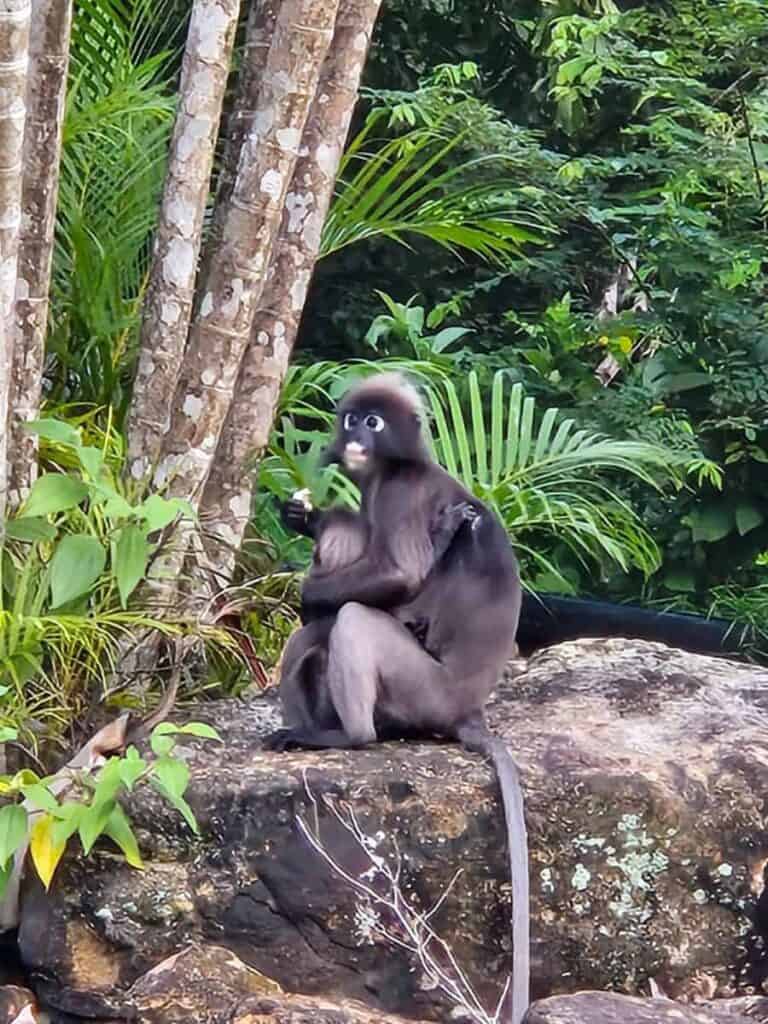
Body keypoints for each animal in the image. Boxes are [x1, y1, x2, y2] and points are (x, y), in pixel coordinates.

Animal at [265, 372, 529, 1024]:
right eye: (352, 419)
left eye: (374, 423)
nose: (357, 435)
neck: (391, 470)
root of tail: (469, 708)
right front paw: (304, 516)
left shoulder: (401, 498)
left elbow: (399, 577)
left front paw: (307, 584)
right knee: (323, 627)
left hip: (424, 690)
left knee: (354, 617)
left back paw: (345, 735)